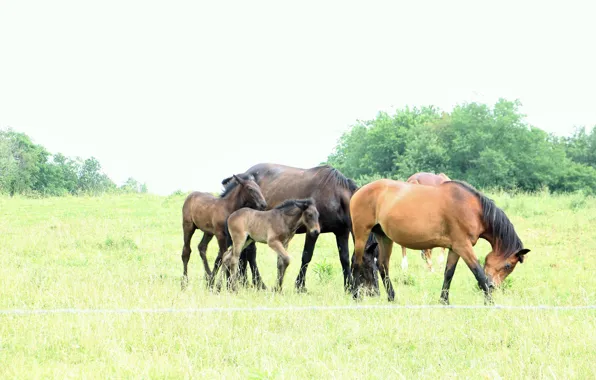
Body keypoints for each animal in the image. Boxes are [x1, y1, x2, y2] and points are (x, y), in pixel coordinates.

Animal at [219, 163, 378, 290]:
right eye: (368, 265)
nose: (375, 292)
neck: (335, 195)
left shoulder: (341, 231)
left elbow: (344, 258)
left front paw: (348, 286)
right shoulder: (313, 231)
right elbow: (306, 256)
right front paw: (300, 286)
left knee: (242, 255)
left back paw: (243, 282)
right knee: (249, 255)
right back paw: (257, 284)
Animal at [352, 180, 528, 304]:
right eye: (508, 265)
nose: (493, 286)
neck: (472, 209)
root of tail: (359, 191)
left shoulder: (455, 248)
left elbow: (448, 273)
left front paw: (444, 301)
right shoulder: (464, 246)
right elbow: (478, 273)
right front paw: (490, 302)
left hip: (384, 237)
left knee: (382, 265)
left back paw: (392, 297)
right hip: (361, 234)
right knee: (356, 261)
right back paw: (355, 296)